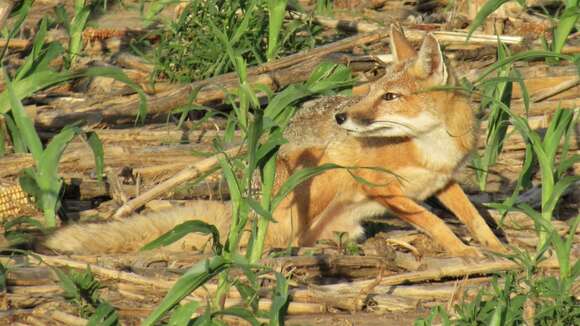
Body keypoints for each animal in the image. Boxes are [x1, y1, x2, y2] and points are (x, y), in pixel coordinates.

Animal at [43, 26, 506, 255]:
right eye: (370, 92)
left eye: (389, 97)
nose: (342, 117)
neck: (430, 148)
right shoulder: (375, 182)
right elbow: (432, 220)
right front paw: (463, 253)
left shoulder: (446, 182)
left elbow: (473, 218)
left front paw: (497, 248)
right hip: (323, 173)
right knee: (275, 238)